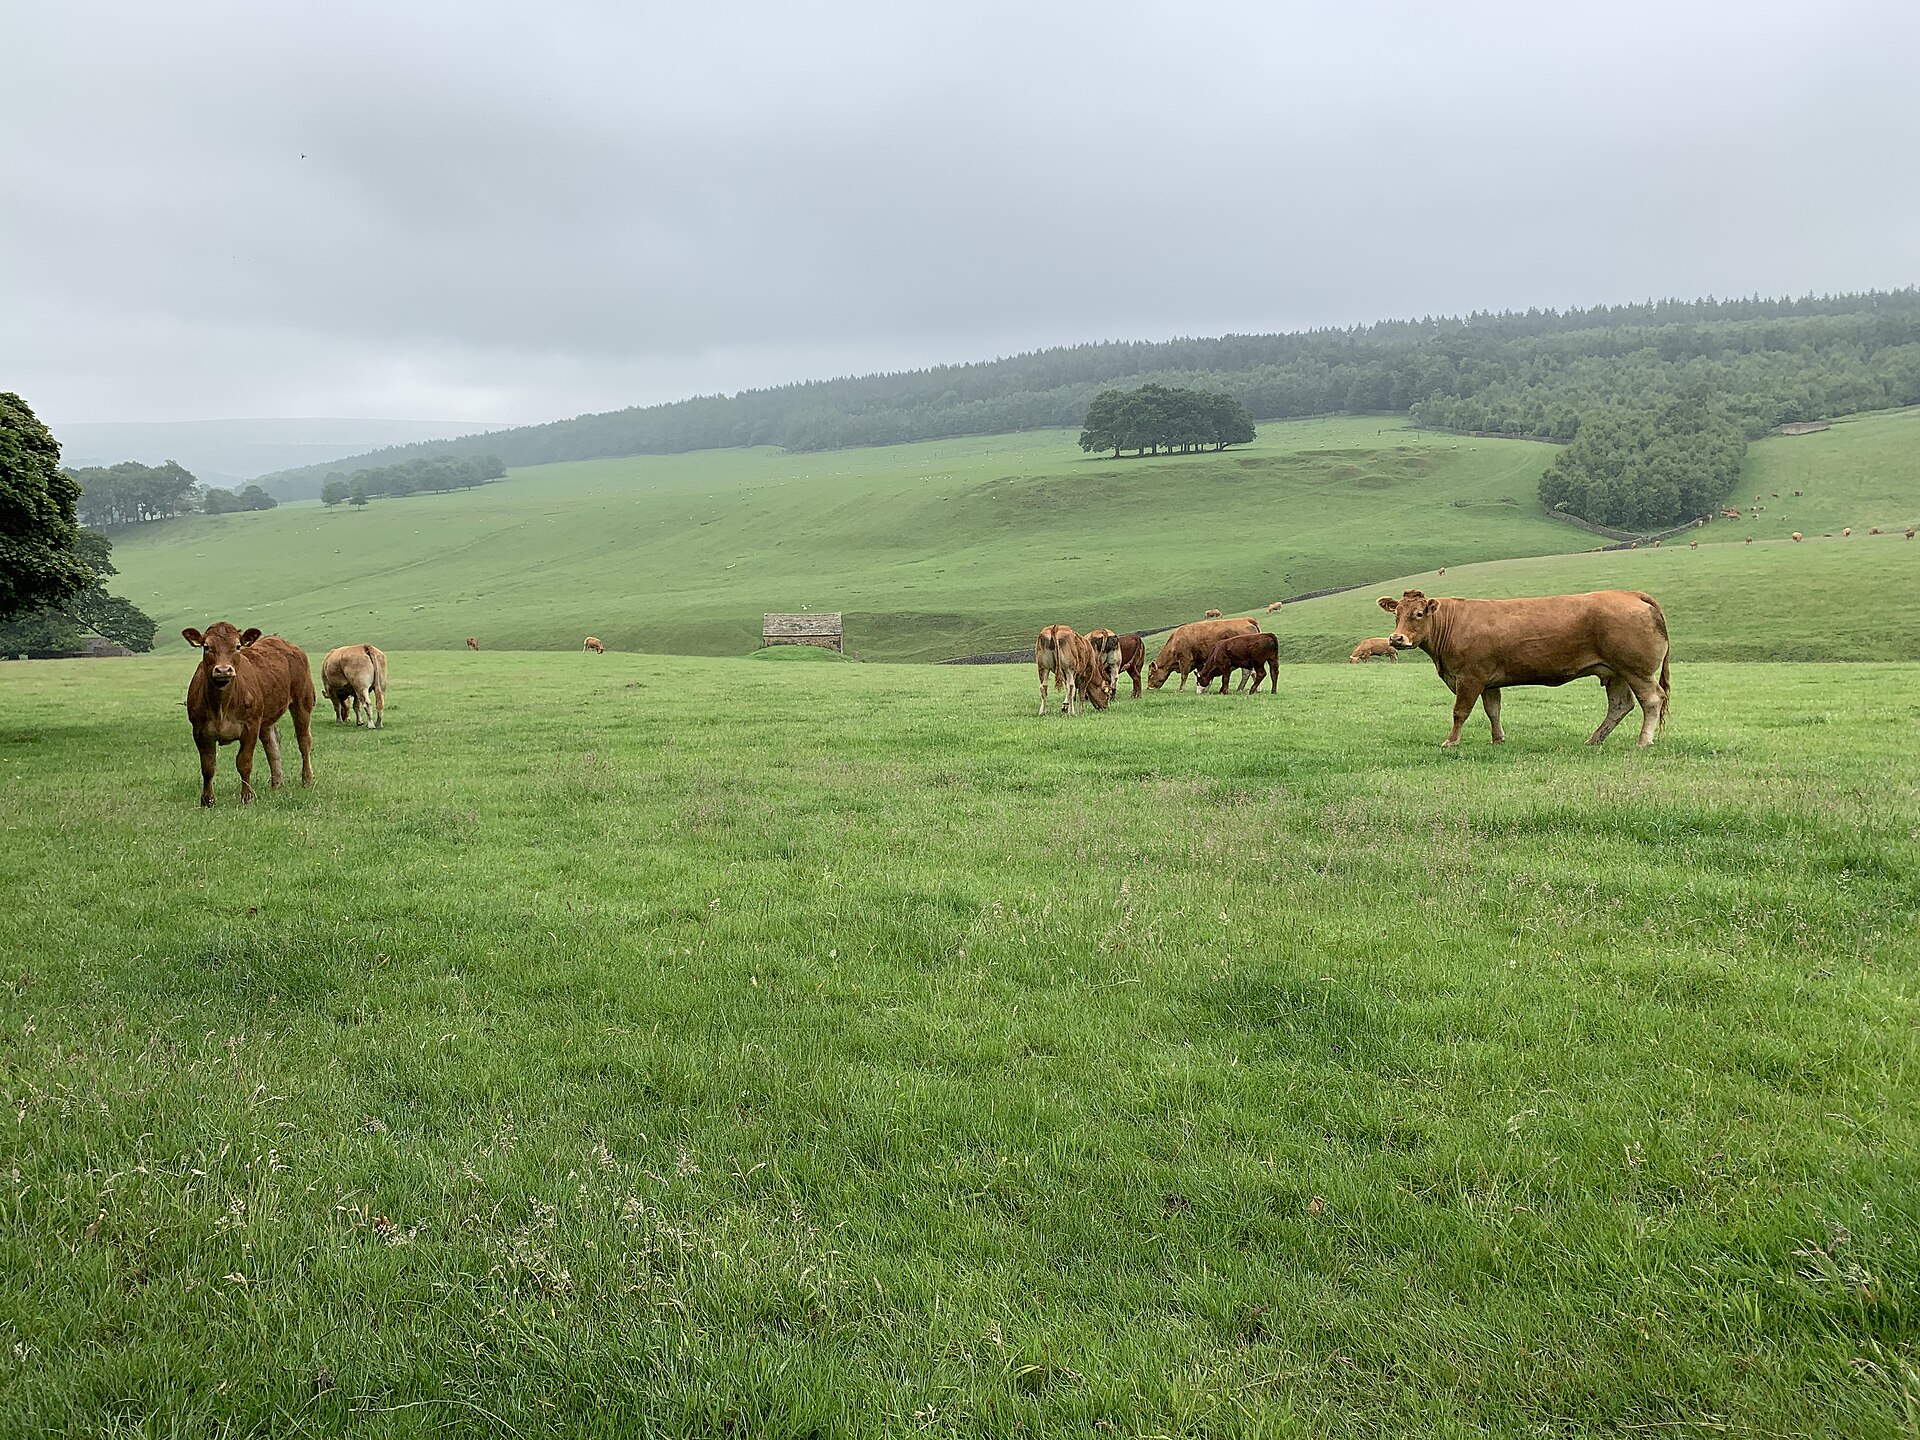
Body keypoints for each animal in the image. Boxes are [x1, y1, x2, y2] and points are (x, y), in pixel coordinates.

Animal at [182, 622, 317, 806]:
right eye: (206, 647)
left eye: (237, 646)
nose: (223, 670)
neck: (222, 705)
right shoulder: (199, 731)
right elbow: (208, 766)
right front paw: (207, 800)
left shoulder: (251, 726)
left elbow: (244, 762)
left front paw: (247, 796)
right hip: (266, 717)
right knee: (272, 745)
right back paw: (277, 783)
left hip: (302, 701)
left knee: (304, 741)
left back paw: (307, 779)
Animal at [1377, 589, 1670, 748]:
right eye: (1396, 614)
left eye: (1418, 614)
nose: (1396, 639)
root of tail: (1631, 594)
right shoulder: (1488, 680)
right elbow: (1493, 710)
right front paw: (1497, 739)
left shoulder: (1470, 677)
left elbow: (1460, 712)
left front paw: (1451, 741)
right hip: (1614, 672)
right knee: (1620, 705)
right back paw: (1594, 739)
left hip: (1636, 670)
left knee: (1652, 699)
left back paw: (1643, 740)